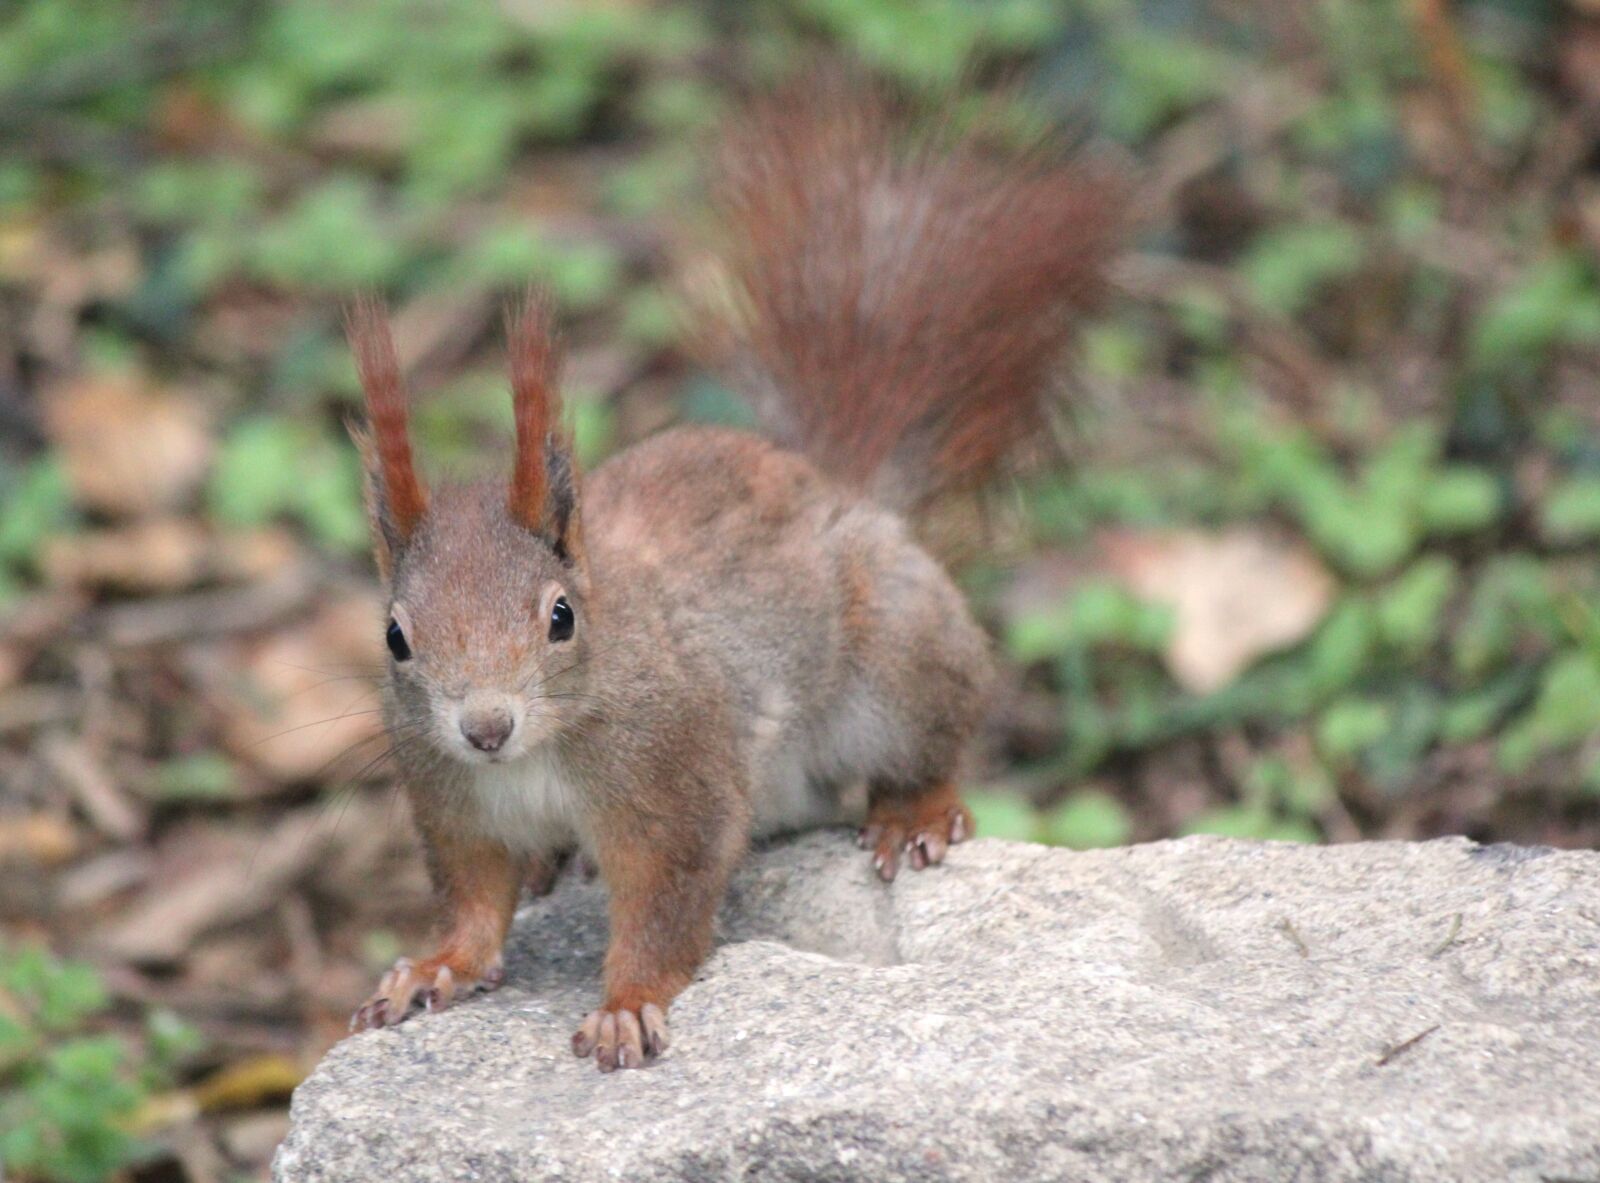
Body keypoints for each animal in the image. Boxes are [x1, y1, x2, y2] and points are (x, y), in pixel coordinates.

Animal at [344, 74, 1118, 1071]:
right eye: (396, 636)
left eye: (561, 617)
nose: (484, 726)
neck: (538, 756)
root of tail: (833, 483)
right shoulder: (452, 804)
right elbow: (473, 901)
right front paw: (435, 966)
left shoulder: (677, 782)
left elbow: (667, 905)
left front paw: (627, 1003)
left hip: (897, 648)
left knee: (936, 735)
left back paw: (914, 813)